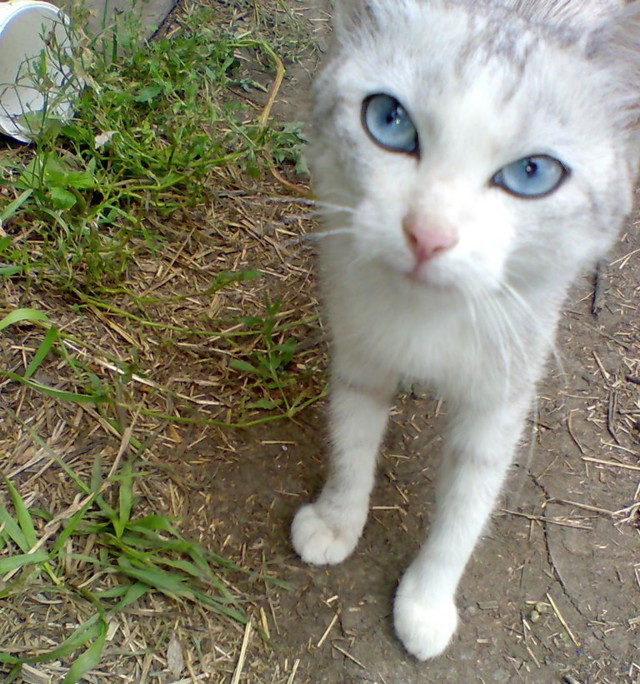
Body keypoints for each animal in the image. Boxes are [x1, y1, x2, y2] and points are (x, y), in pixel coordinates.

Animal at [292, 0, 640, 664]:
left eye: (532, 173)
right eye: (389, 120)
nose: (428, 234)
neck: (429, 318)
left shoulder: (501, 398)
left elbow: (465, 510)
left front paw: (427, 601)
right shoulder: (360, 349)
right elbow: (351, 444)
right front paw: (338, 519)